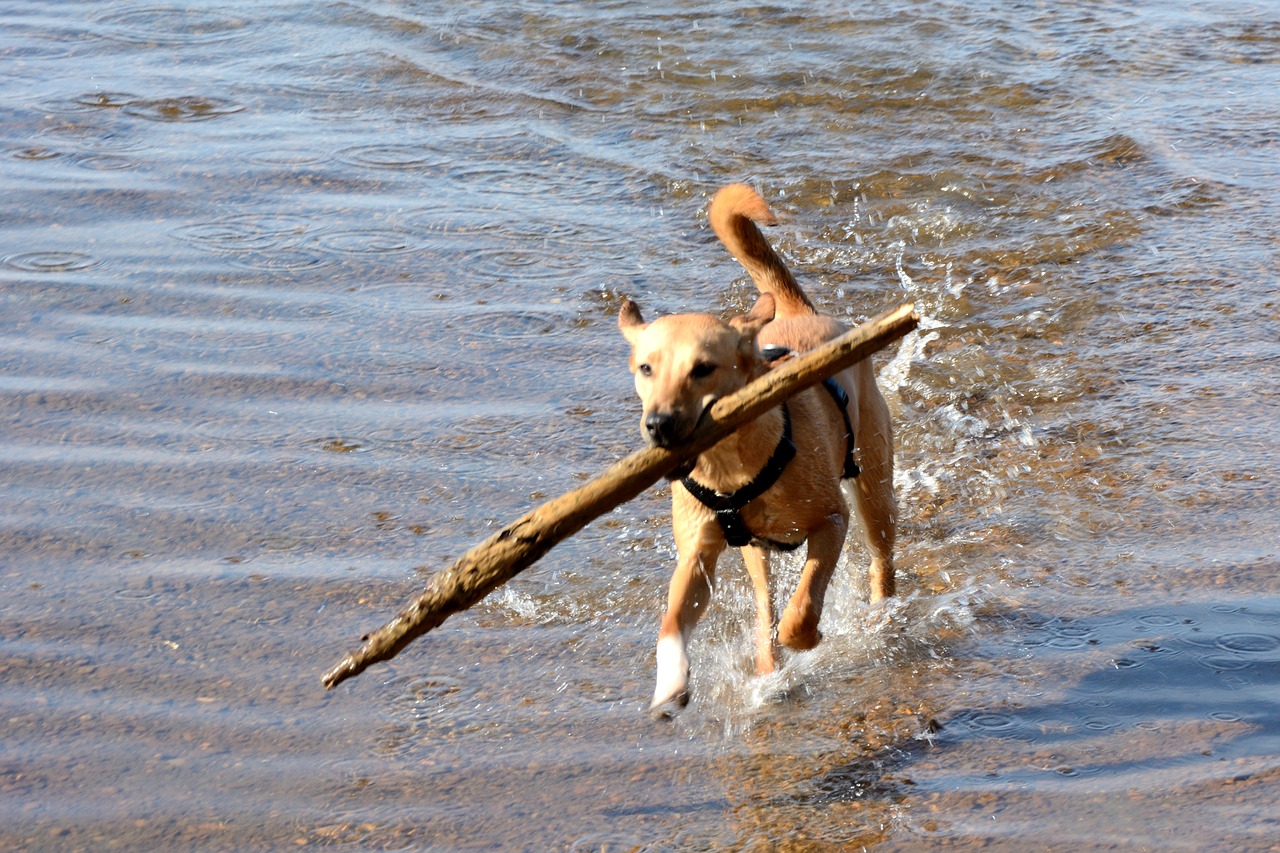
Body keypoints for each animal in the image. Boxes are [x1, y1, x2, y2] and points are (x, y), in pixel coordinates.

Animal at [614, 183, 896, 712]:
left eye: (703, 368)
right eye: (646, 368)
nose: (658, 426)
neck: (731, 464)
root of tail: (801, 313)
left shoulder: (832, 519)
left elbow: (803, 606)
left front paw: (808, 636)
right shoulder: (697, 554)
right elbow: (671, 622)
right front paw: (671, 683)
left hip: (874, 486)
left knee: (881, 558)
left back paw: (882, 614)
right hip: (752, 554)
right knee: (764, 604)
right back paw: (767, 666)